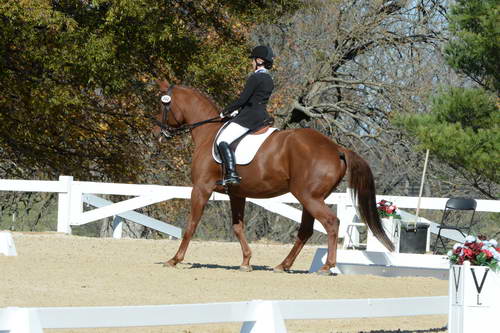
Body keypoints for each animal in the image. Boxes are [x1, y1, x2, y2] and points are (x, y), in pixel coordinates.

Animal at [154, 81, 392, 274]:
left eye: (163, 104)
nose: (159, 132)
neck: (208, 133)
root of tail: (336, 148)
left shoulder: (201, 188)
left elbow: (191, 225)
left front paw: (174, 260)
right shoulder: (237, 194)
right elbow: (238, 227)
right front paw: (246, 262)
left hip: (309, 197)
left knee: (331, 223)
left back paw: (326, 267)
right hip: (311, 197)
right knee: (306, 230)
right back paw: (283, 265)